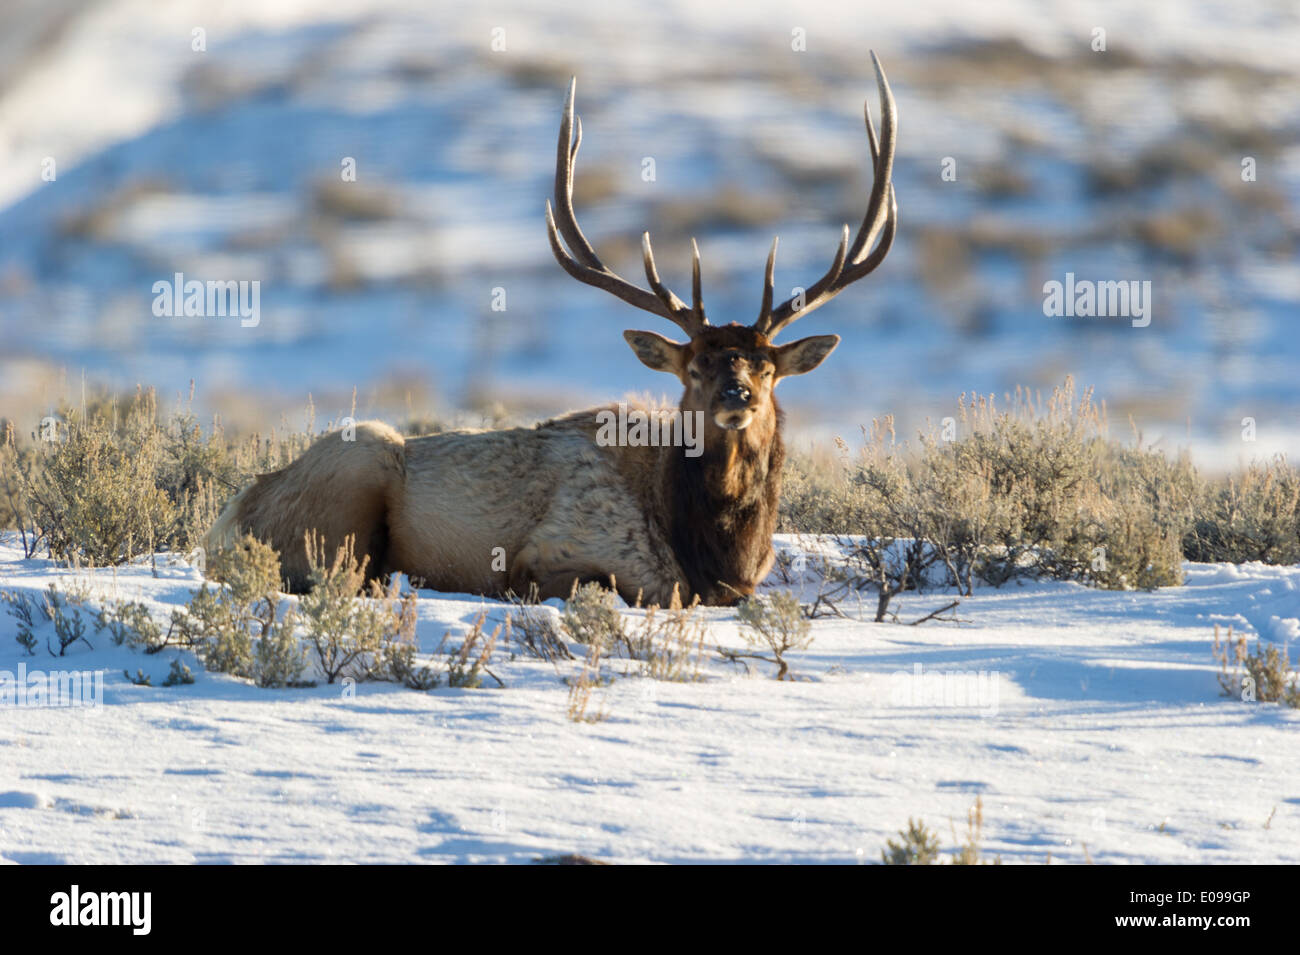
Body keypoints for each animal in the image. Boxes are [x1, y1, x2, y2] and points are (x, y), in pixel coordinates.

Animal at [208, 54, 899, 605]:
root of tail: (230, 516)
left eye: (766, 367)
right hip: (357, 467)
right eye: (696, 368)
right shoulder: (557, 554)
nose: (738, 397)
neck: (717, 552)